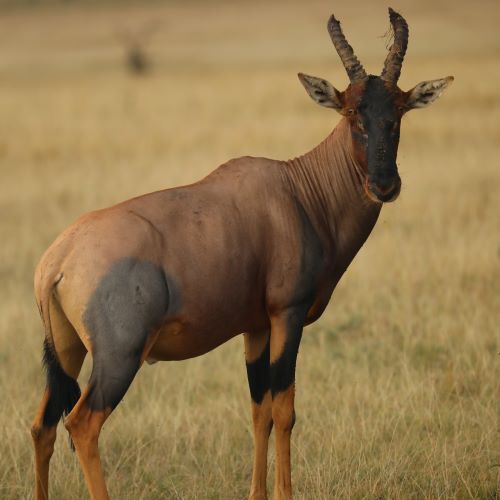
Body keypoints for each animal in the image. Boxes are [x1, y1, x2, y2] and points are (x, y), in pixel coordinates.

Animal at [31, 8, 454, 500]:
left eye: (399, 111)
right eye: (351, 112)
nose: (385, 185)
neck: (297, 192)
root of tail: (56, 261)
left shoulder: (255, 327)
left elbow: (259, 411)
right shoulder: (287, 314)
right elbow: (285, 410)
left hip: (66, 351)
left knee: (42, 426)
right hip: (119, 356)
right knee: (82, 425)